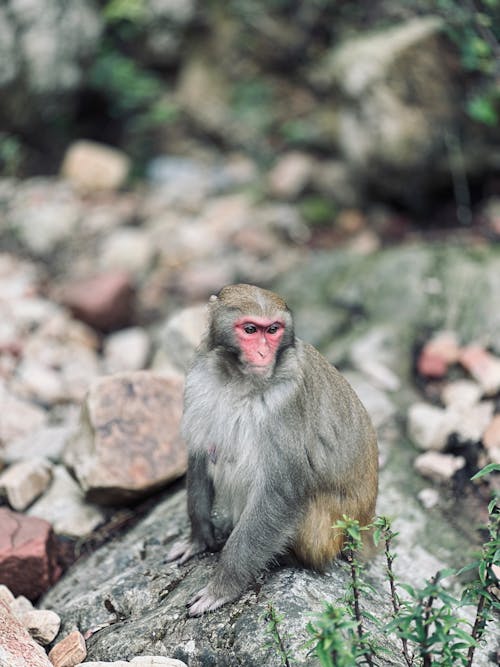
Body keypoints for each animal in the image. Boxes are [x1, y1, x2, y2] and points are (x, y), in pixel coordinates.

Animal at [166, 282, 376, 616]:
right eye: (251, 329)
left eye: (273, 330)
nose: (264, 353)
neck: (238, 379)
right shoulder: (199, 378)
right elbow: (200, 455)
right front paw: (198, 539)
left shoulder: (286, 404)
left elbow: (279, 493)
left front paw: (223, 586)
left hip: (334, 530)